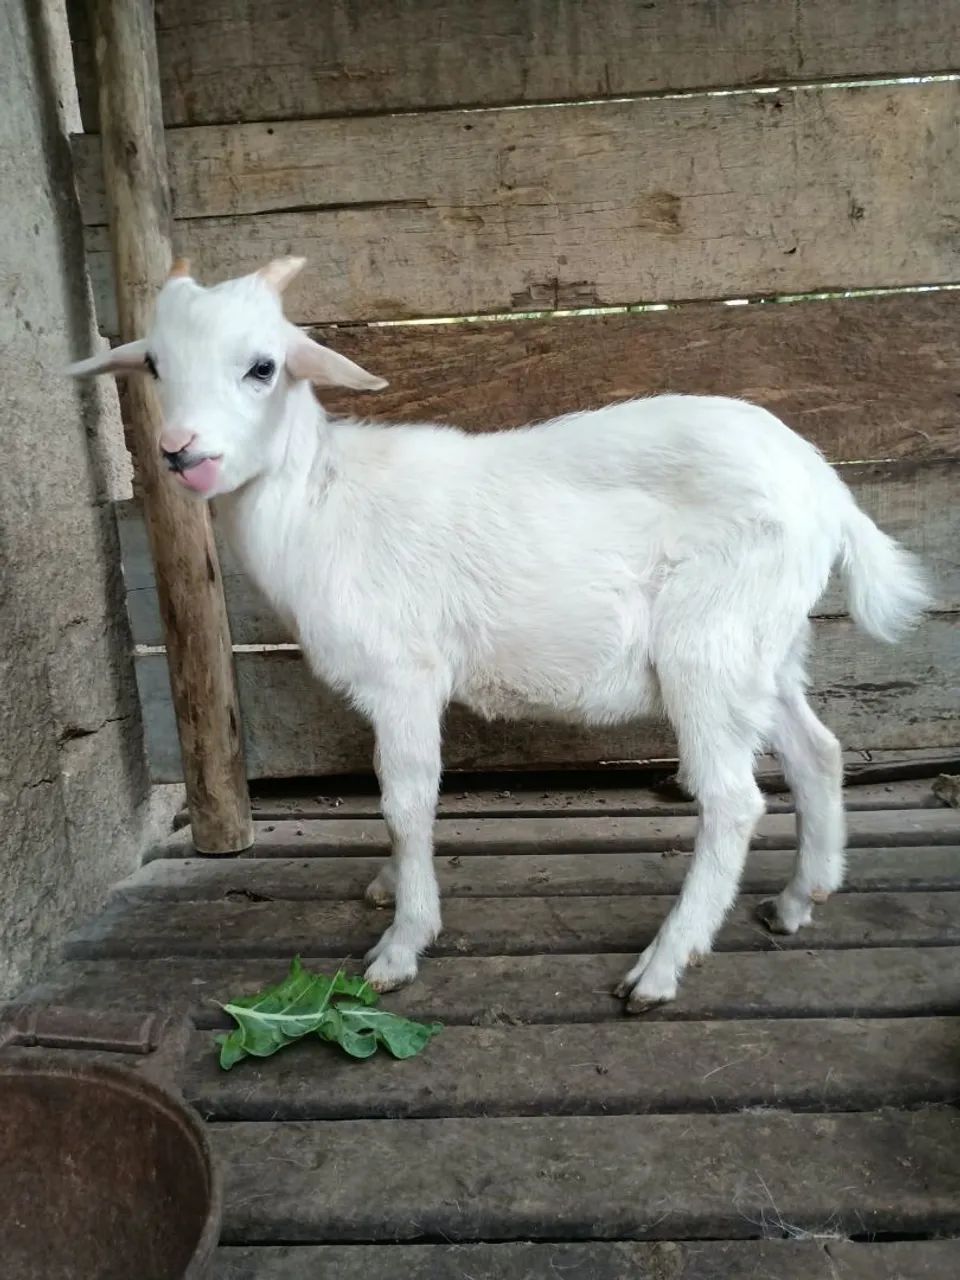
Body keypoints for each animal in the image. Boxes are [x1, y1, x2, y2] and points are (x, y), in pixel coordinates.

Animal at [70, 257, 931, 1011]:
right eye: (153, 365)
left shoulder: (404, 674)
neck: (321, 499)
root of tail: (829, 491)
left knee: (734, 800)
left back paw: (662, 964)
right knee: (818, 751)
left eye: (262, 367)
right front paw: (390, 887)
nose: (181, 452)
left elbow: (406, 801)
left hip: (708, 645)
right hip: (765, 646)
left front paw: (403, 940)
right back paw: (798, 899)